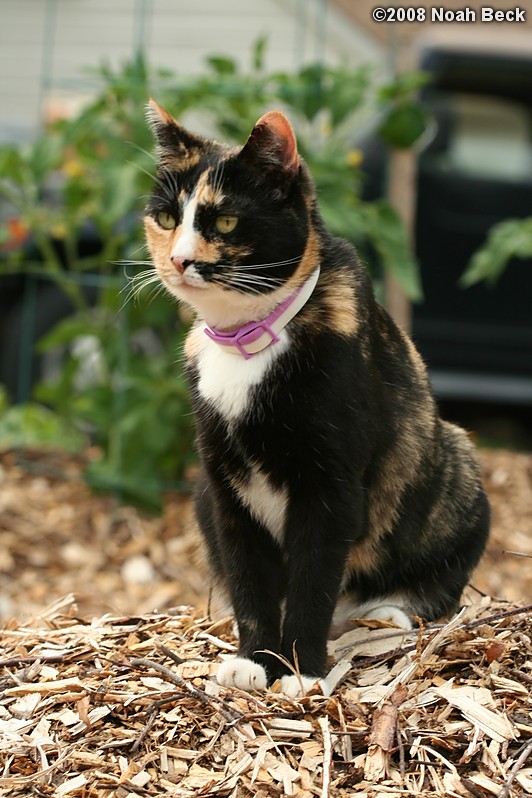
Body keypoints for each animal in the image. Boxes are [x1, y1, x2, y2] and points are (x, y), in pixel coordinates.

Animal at [142, 101, 490, 700]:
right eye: (167, 219)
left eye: (225, 222)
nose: (181, 259)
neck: (248, 341)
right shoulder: (223, 485)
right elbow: (249, 578)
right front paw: (255, 660)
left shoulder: (330, 485)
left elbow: (313, 578)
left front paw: (301, 670)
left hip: (456, 461)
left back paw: (385, 615)